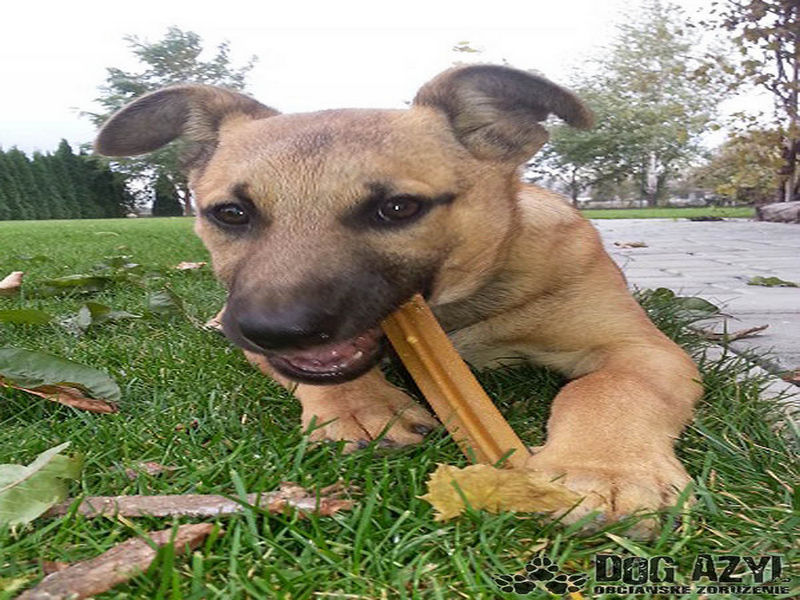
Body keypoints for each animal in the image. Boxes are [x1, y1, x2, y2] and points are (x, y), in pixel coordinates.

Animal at [95, 65, 701, 536]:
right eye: (230, 213)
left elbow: (605, 389)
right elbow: (331, 381)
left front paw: (605, 473)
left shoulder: (641, 347)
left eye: (398, 208)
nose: (274, 330)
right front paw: (365, 409)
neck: (451, 314)